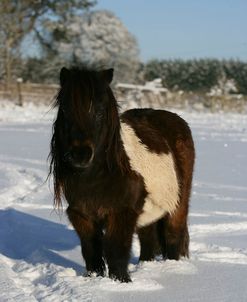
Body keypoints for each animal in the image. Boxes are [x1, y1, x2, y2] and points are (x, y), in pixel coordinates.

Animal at [49, 66, 195, 284]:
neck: (95, 178)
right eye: (65, 109)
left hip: (178, 204)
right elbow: (92, 251)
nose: (80, 154)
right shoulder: (82, 215)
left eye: (100, 110)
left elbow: (116, 251)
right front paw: (94, 279)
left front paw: (121, 282)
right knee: (148, 239)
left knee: (173, 236)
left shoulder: (121, 213)